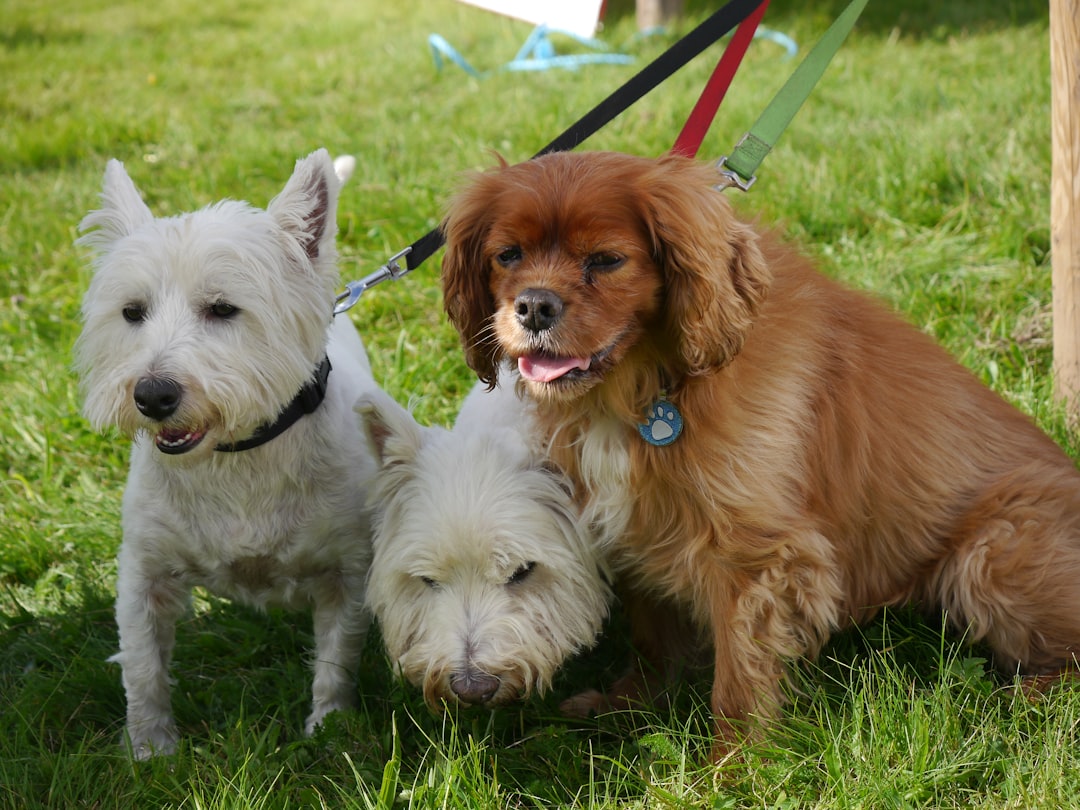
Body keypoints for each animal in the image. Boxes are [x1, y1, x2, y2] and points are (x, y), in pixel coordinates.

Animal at [73, 147, 373, 760]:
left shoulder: (347, 570)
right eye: (132, 312)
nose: (152, 395)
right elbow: (143, 666)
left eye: (223, 309)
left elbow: (337, 657)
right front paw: (150, 751)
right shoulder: (143, 571)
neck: (236, 457)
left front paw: (329, 728)